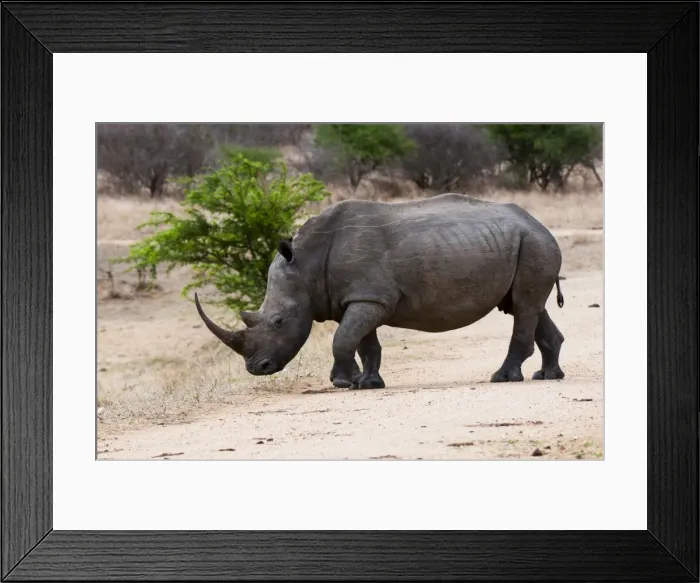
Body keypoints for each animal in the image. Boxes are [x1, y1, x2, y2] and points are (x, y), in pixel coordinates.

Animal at [194, 193, 565, 389]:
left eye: (278, 321)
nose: (256, 369)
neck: (306, 263)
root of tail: (538, 222)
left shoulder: (369, 297)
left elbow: (343, 339)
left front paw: (341, 383)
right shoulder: (360, 298)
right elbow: (363, 343)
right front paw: (367, 383)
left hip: (534, 244)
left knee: (524, 306)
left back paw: (503, 378)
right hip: (521, 244)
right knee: (526, 306)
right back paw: (547, 376)